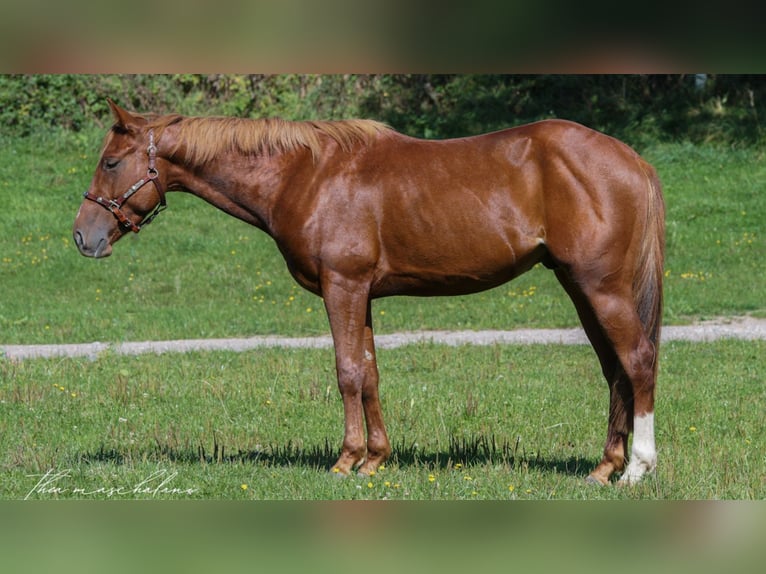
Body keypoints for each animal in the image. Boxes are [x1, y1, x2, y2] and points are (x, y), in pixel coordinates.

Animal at [73, 99, 664, 485]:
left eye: (110, 162)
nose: (84, 236)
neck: (305, 175)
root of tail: (632, 158)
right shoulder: (364, 296)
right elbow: (370, 371)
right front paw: (376, 458)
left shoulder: (343, 286)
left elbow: (347, 372)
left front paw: (346, 459)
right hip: (580, 287)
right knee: (614, 369)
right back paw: (604, 467)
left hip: (601, 287)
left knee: (636, 361)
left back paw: (637, 468)